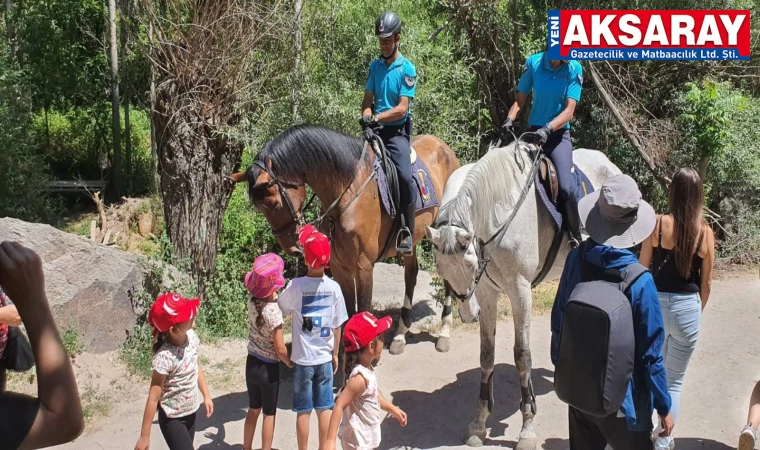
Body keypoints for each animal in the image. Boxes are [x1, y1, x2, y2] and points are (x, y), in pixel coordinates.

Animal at [229, 124, 460, 356]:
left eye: (274, 204)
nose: (292, 248)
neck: (347, 191)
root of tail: (444, 147)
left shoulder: (364, 267)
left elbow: (363, 310)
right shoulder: (340, 267)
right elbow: (348, 313)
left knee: (447, 275)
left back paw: (444, 334)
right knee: (411, 275)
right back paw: (400, 335)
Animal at [424, 139, 620, 448]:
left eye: (470, 265)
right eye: (442, 270)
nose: (468, 313)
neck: (498, 213)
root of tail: (610, 166)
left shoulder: (520, 290)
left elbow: (522, 356)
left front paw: (527, 428)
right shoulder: (487, 292)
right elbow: (487, 354)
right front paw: (479, 424)